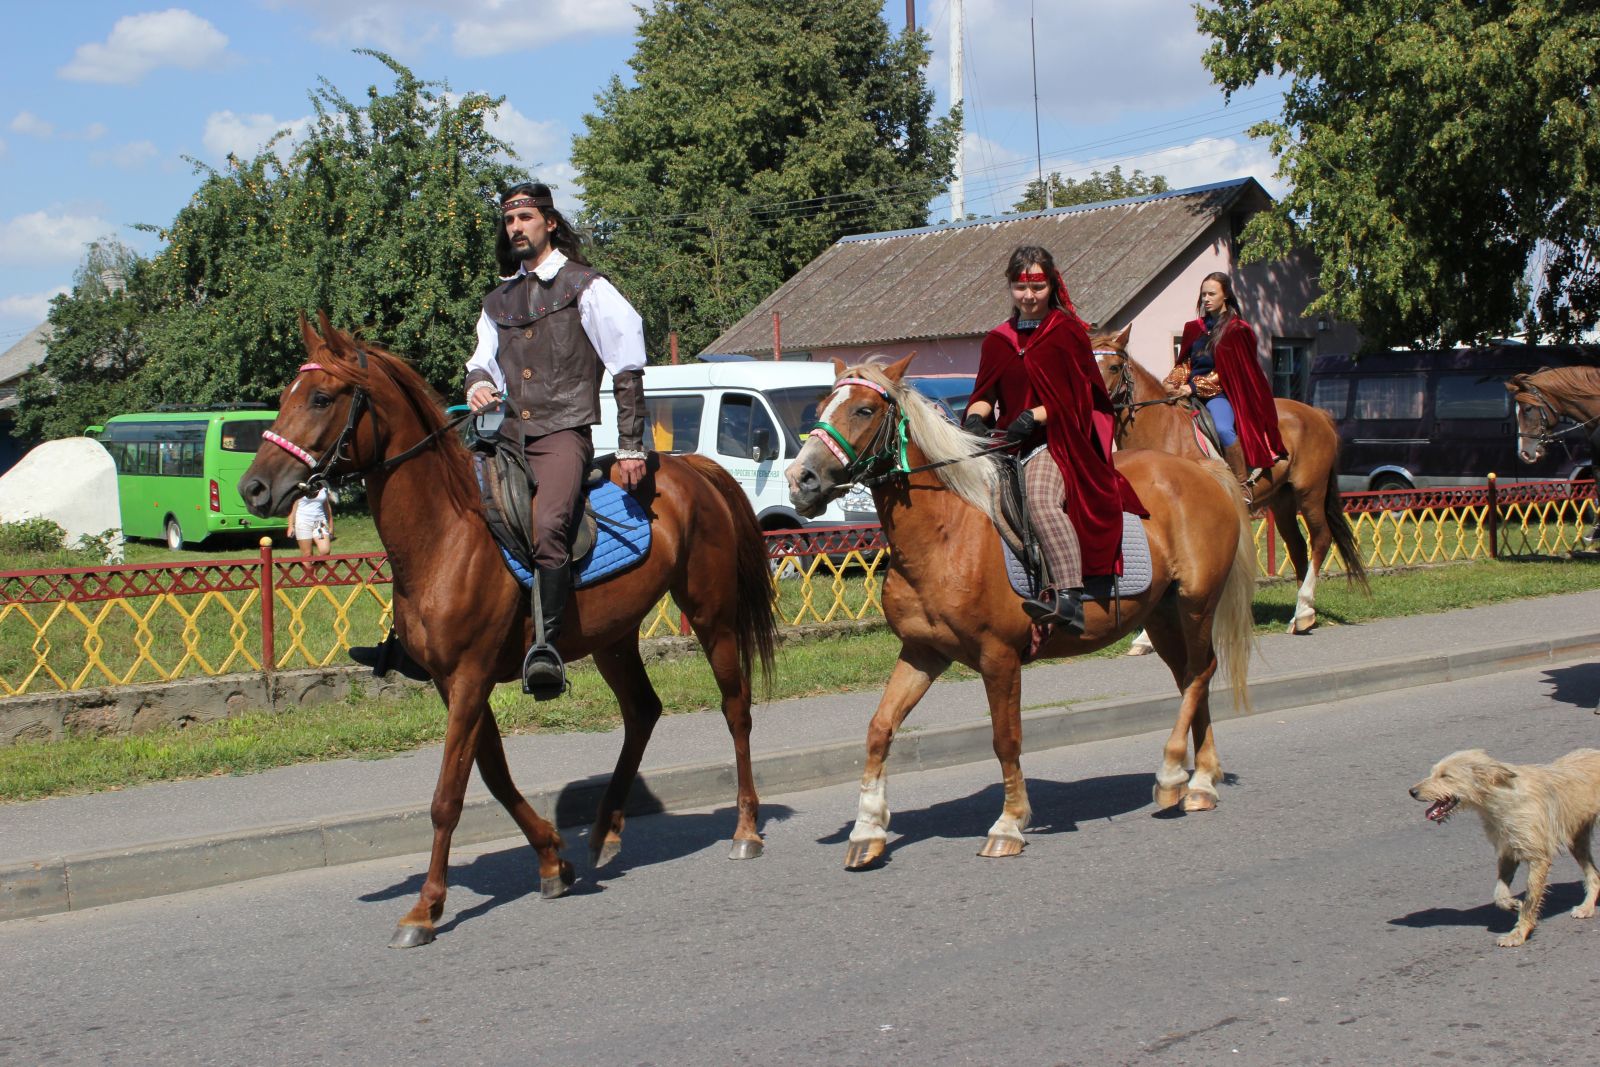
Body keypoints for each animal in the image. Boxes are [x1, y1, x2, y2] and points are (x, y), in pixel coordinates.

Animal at [238, 313, 780, 947]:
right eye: (285, 396)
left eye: (322, 397)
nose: (254, 488)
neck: (447, 533)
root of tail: (694, 466)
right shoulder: (453, 683)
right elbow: (493, 775)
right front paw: (551, 859)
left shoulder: (469, 679)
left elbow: (448, 796)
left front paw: (425, 908)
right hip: (614, 639)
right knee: (643, 712)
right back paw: (605, 831)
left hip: (712, 617)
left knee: (736, 709)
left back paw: (745, 829)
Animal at [780, 355, 1254, 870]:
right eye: (822, 407)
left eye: (865, 410)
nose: (800, 480)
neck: (947, 532)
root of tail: (1202, 469)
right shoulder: (922, 653)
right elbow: (879, 729)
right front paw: (867, 830)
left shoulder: (999, 658)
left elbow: (1005, 739)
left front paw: (1008, 824)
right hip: (1162, 617)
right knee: (1191, 678)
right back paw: (1201, 780)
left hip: (1195, 604)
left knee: (1200, 672)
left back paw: (1175, 777)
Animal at [1094, 321, 1369, 630]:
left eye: (1114, 366)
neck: (1163, 428)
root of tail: (1317, 414)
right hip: (1282, 499)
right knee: (1297, 547)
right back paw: (1302, 613)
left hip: (1310, 491)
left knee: (1320, 540)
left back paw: (1304, 610)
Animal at [1414, 748, 1600, 947]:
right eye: (1434, 772)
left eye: (1445, 776)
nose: (1412, 791)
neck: (1500, 798)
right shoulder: (1508, 853)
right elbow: (1499, 894)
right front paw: (1512, 904)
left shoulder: (1538, 859)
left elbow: (1530, 901)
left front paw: (1518, 934)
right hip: (1578, 840)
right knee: (1594, 875)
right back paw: (1587, 907)